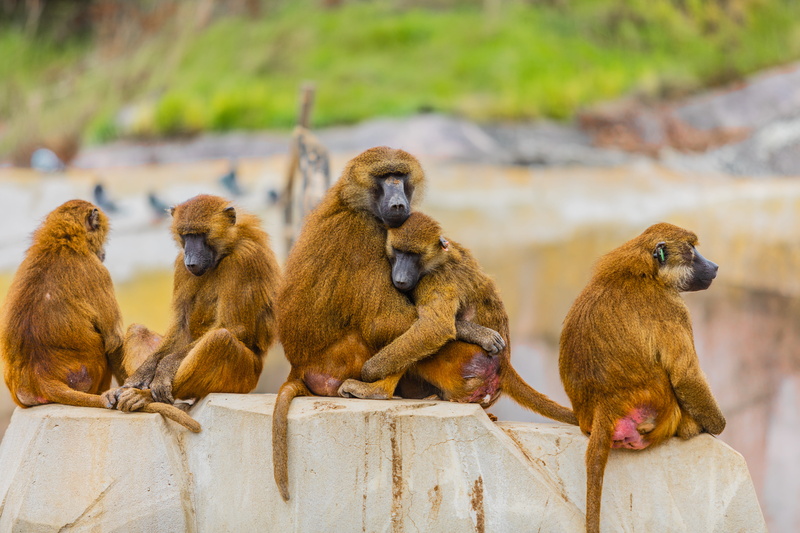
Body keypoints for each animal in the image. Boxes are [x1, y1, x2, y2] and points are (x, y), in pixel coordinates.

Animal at [0, 200, 199, 432]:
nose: (103, 253)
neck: (59, 243)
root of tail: (39, 378)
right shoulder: (98, 272)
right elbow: (114, 341)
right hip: (88, 375)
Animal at [102, 194, 280, 417]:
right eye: (186, 236)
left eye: (201, 235)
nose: (191, 260)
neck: (224, 253)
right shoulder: (180, 264)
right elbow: (181, 327)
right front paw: (141, 374)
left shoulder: (245, 259)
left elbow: (234, 327)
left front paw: (163, 369)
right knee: (138, 330)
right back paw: (126, 391)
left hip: (244, 379)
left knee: (220, 340)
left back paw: (145, 396)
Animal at [338, 211, 577, 427]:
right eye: (398, 252)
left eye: (413, 255)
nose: (401, 277)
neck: (437, 259)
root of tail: (505, 365)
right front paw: (480, 334)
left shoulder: (435, 279)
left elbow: (434, 328)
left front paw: (369, 371)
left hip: (462, 362)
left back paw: (376, 390)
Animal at [558, 222, 725, 533]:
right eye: (692, 250)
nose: (714, 266)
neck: (643, 273)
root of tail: (605, 406)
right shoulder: (672, 308)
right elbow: (685, 376)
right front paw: (716, 426)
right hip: (662, 412)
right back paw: (690, 428)